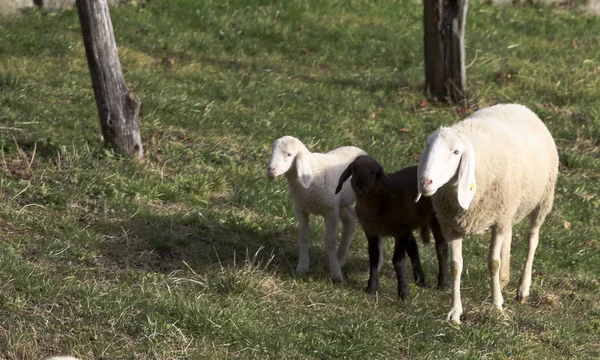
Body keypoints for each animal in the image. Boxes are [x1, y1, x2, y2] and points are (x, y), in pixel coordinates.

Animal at [268, 135, 366, 282]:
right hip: (340, 203)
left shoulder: (331, 211)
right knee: (350, 219)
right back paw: (340, 258)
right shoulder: (301, 208)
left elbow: (330, 241)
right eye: (272, 151)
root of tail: (361, 150)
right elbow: (303, 236)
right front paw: (302, 267)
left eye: (289, 154)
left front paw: (335, 274)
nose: (270, 170)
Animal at [418, 103, 556, 324]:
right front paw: (455, 312)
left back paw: (523, 288)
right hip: (509, 211)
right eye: (428, 145)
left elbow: (493, 262)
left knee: (532, 240)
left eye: (456, 152)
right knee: (509, 236)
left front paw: (497, 305)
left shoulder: (498, 220)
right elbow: (456, 265)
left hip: (542, 201)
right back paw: (504, 279)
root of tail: (517, 105)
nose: (425, 182)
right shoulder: (451, 226)